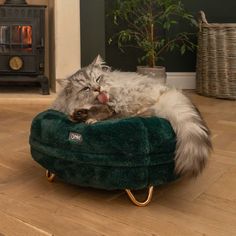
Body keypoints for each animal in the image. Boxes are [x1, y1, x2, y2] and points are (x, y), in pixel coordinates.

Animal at [52, 55, 212, 177]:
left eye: (98, 79)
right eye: (86, 88)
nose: (98, 89)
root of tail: (166, 90)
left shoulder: (112, 106)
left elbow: (106, 113)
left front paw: (90, 118)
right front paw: (80, 115)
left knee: (131, 114)